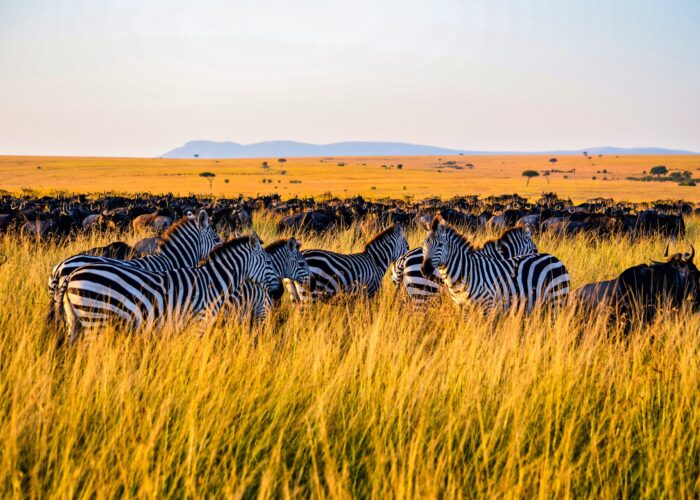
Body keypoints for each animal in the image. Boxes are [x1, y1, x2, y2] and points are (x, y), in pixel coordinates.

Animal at [62, 233, 279, 340]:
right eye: (269, 262)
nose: (279, 293)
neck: (213, 282)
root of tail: (71, 274)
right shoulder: (199, 322)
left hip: (76, 320)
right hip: (96, 318)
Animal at [420, 218, 569, 312]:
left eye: (440, 245)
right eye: (424, 244)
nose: (425, 269)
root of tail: (555, 258)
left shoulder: (489, 306)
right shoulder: (462, 307)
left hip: (557, 299)